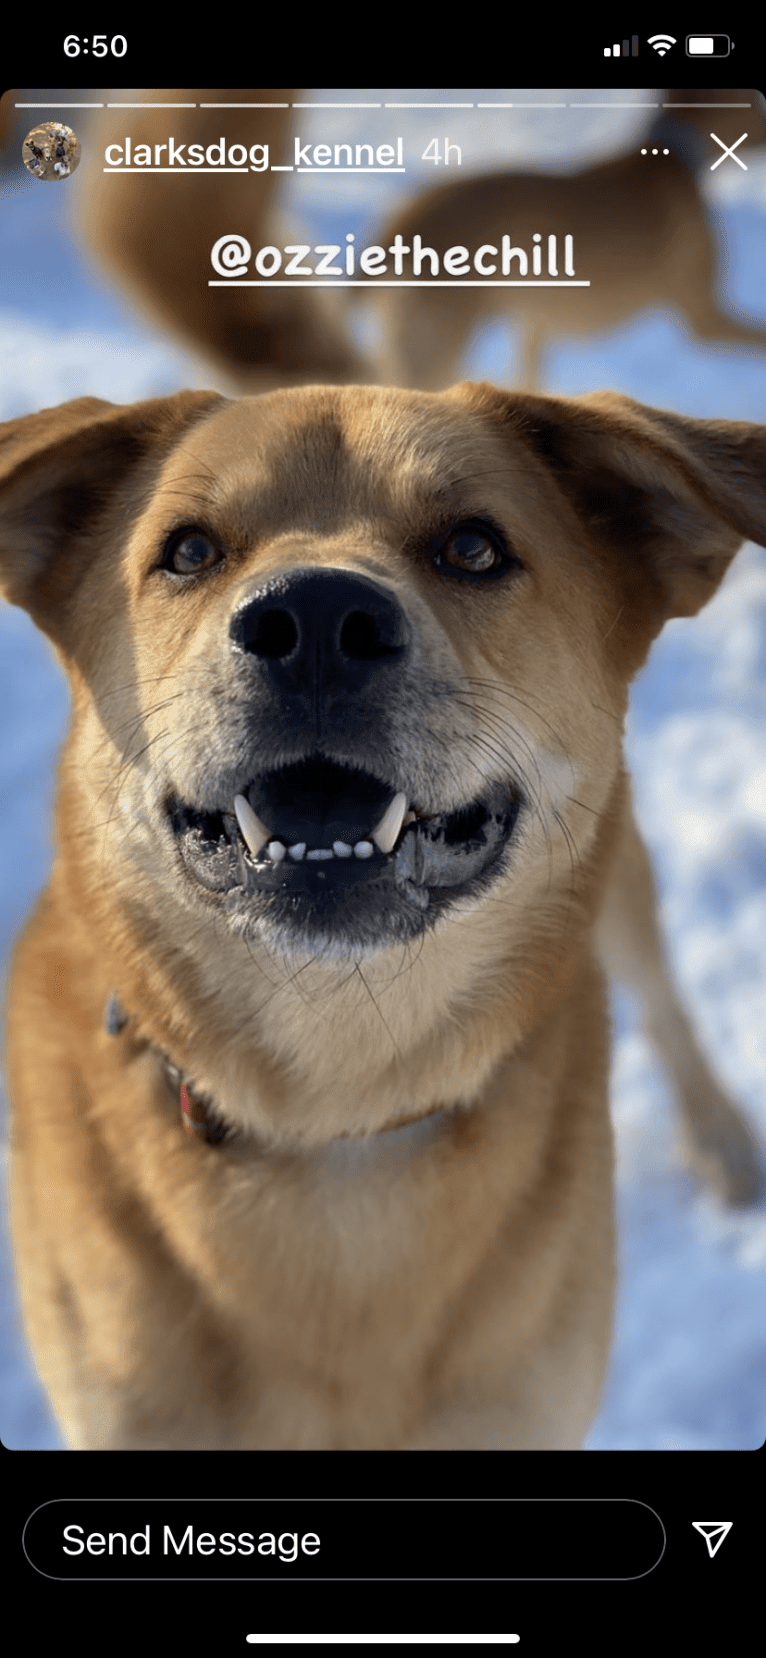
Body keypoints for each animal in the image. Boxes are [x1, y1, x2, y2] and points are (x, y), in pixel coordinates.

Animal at [0, 381, 762, 1445]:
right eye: (188, 551)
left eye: (474, 547)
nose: (315, 619)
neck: (338, 1113)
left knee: (661, 994)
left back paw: (721, 1140)